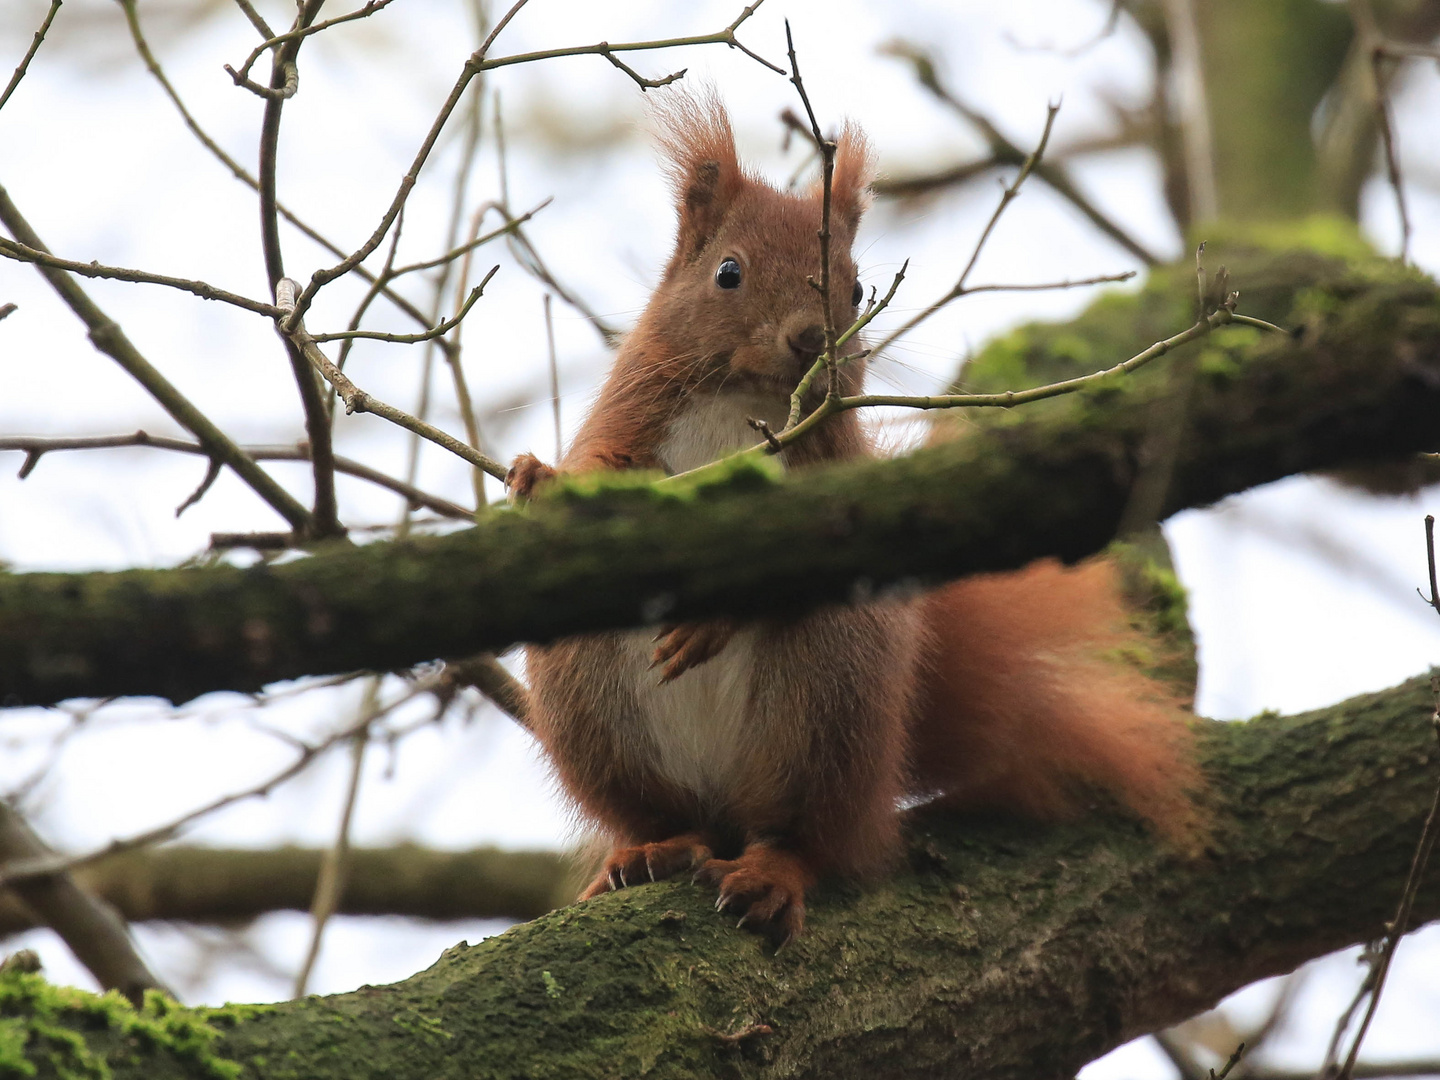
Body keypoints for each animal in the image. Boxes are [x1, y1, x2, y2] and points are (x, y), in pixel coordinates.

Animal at [506, 97, 1203, 950]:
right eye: (728, 272)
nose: (812, 340)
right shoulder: (632, 412)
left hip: (828, 704)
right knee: (662, 816)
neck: (748, 400)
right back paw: (647, 851)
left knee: (809, 839)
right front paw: (542, 479)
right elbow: (597, 465)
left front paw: (716, 618)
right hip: (590, 709)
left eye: (862, 286)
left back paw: (771, 872)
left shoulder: (829, 473)